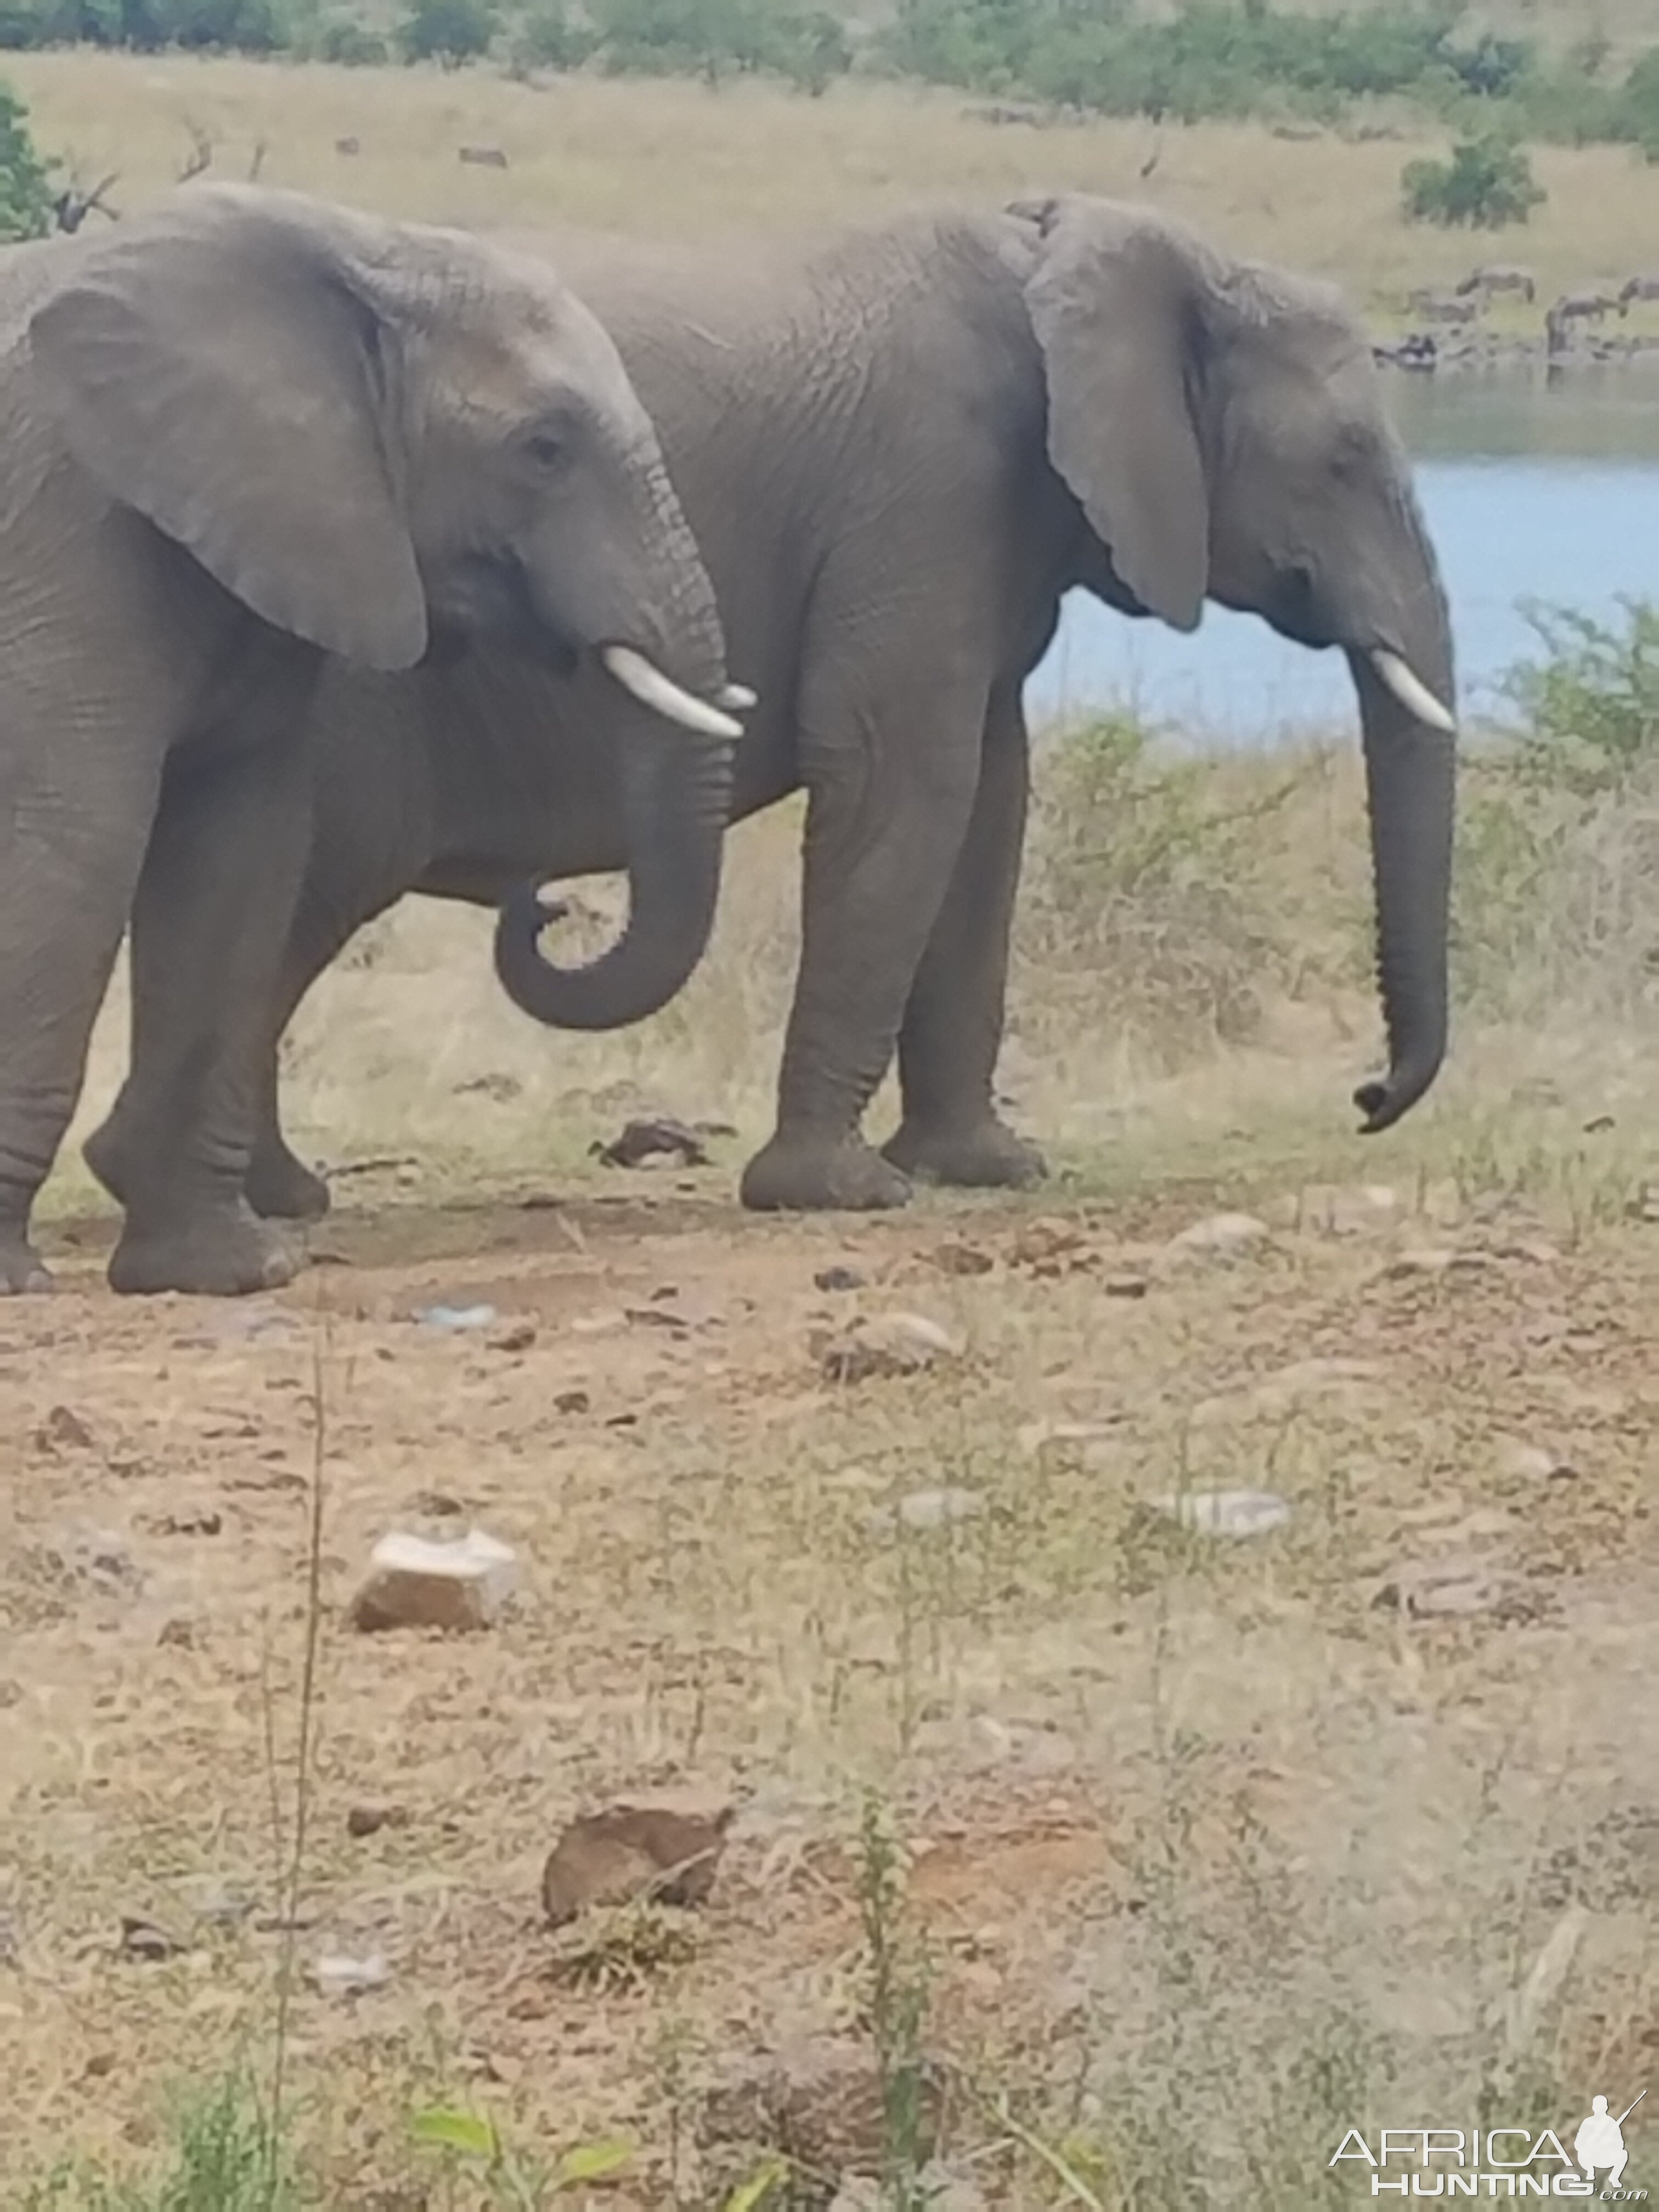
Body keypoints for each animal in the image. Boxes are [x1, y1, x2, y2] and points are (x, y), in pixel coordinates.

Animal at [0, 185, 747, 1291]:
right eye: (544, 449)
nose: (543, 905)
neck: (352, 252)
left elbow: (236, 860)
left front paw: (227, 1272)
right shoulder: (70, 545)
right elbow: (81, 850)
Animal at [91, 192, 1460, 1238]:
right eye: (1344, 459)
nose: (1366, 1100)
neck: (1059, 243)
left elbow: (991, 803)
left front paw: (986, 1170)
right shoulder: (926, 491)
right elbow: (907, 783)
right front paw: (840, 1195)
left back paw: (260, 1198)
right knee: (309, 899)